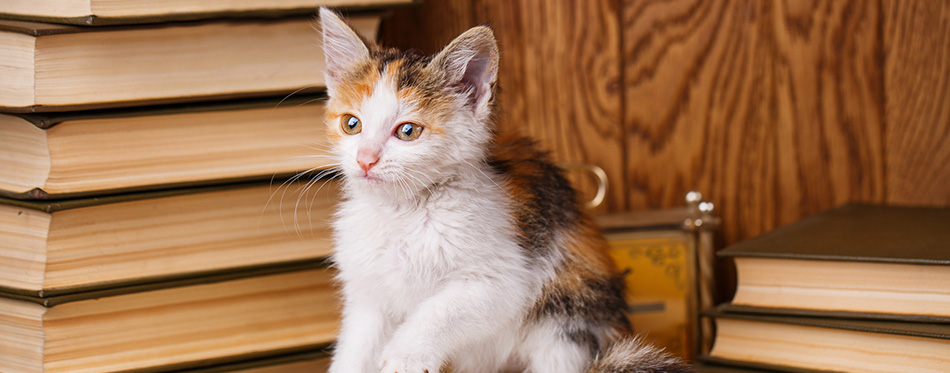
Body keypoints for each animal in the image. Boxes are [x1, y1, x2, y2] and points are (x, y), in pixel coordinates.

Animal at [320, 6, 692, 372]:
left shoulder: (505, 278)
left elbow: (441, 310)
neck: (402, 210)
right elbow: (357, 346)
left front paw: (405, 355)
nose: (365, 159)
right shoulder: (367, 294)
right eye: (351, 124)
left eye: (408, 131)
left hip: (567, 314)